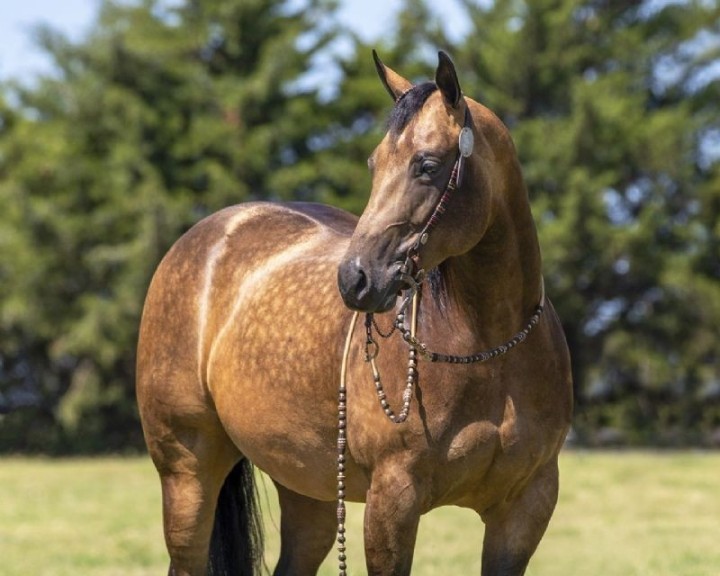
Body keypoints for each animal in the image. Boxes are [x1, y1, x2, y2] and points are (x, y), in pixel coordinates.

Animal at [136, 50, 573, 576]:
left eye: (427, 165)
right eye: (374, 163)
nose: (355, 279)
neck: (490, 352)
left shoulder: (525, 507)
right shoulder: (393, 501)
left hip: (308, 487)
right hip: (188, 472)